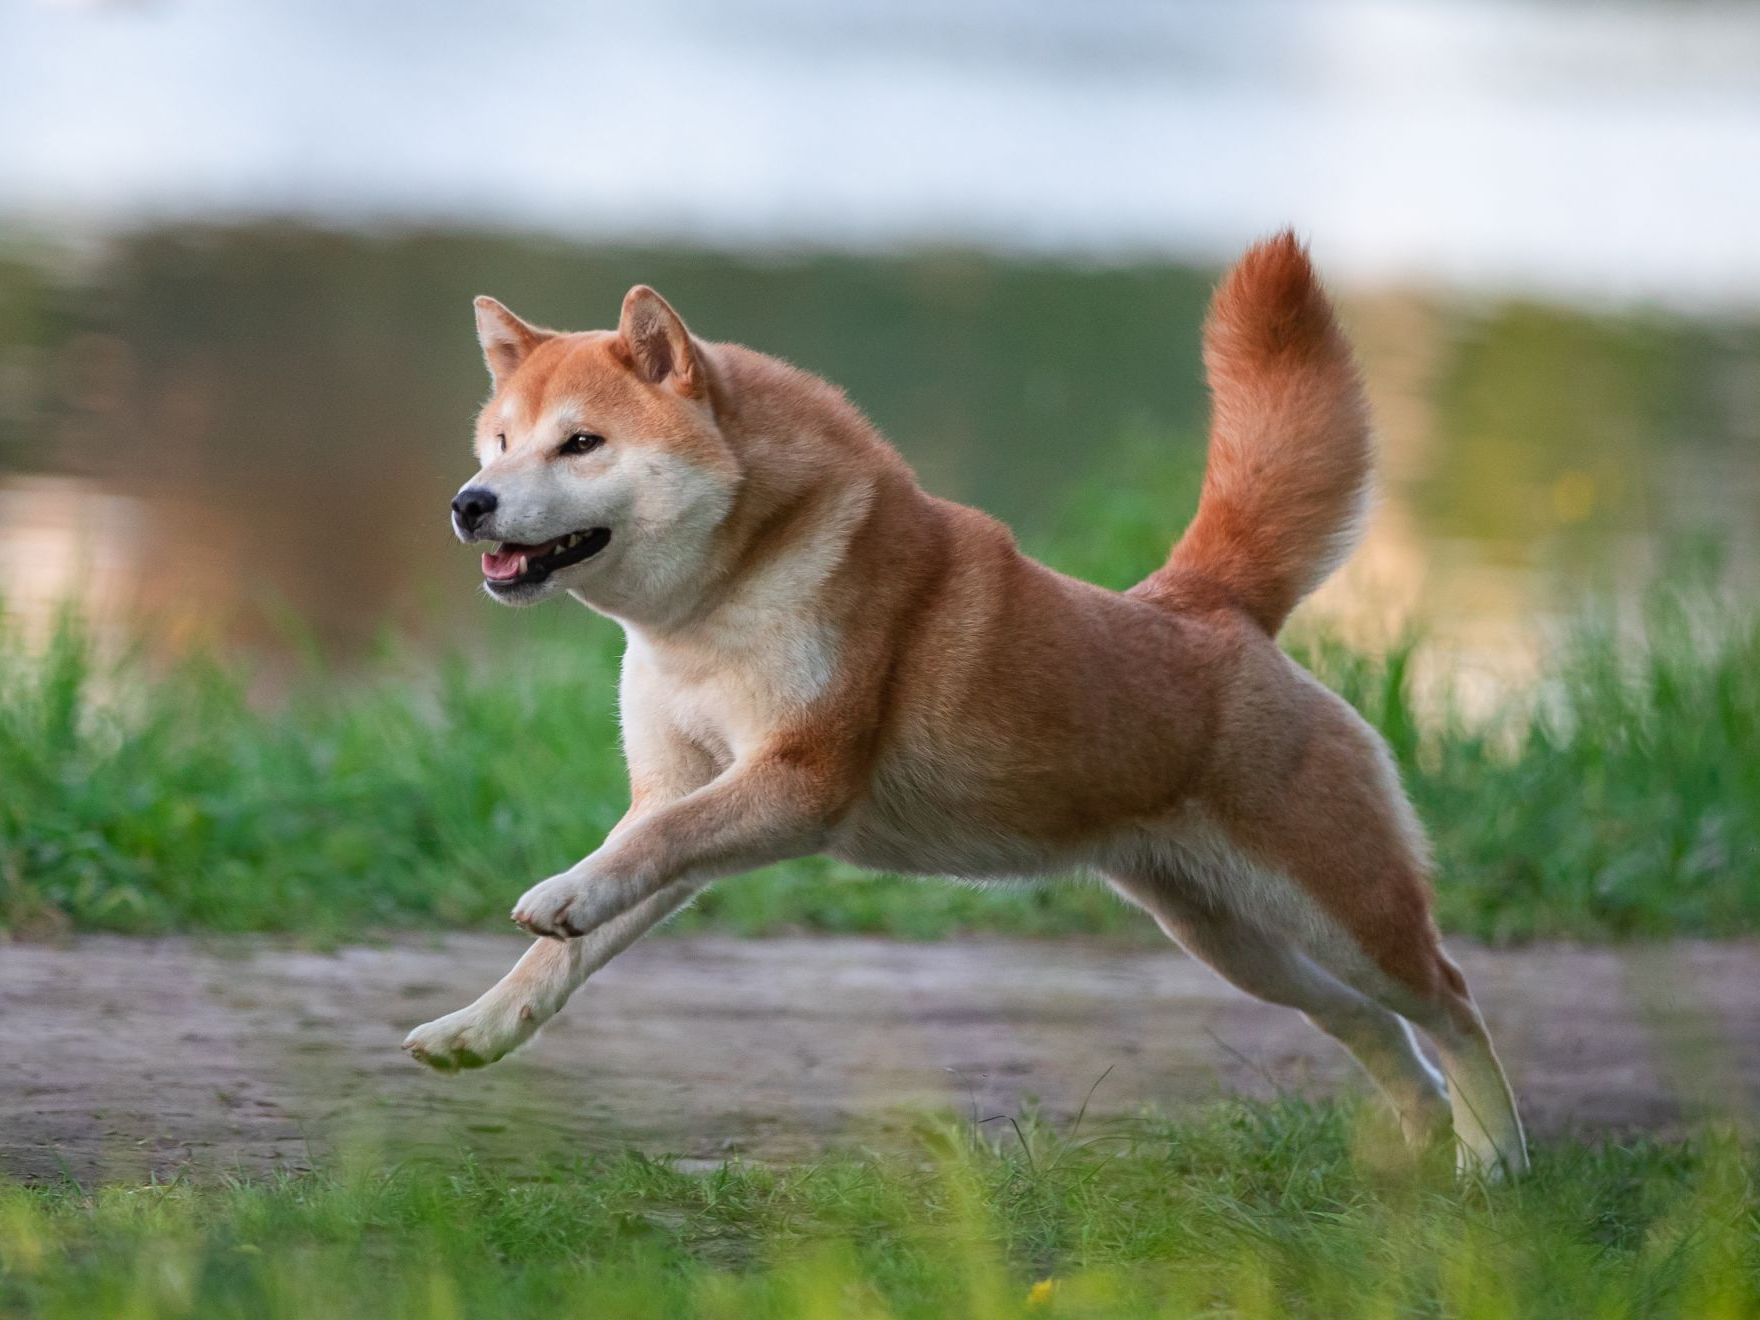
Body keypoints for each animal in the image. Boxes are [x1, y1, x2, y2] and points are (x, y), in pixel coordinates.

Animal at [403, 235, 1527, 1175]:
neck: (715, 608)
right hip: (1229, 938)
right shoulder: (682, 789)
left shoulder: (796, 784)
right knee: (1365, 1022)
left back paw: (1494, 1159)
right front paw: (478, 1027)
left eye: (580, 444)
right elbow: (572, 943)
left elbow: (635, 856)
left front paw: (561, 893)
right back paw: (1425, 1138)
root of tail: (1210, 606)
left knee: (1451, 1000)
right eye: (497, 442)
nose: (467, 503)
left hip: (1338, 907)